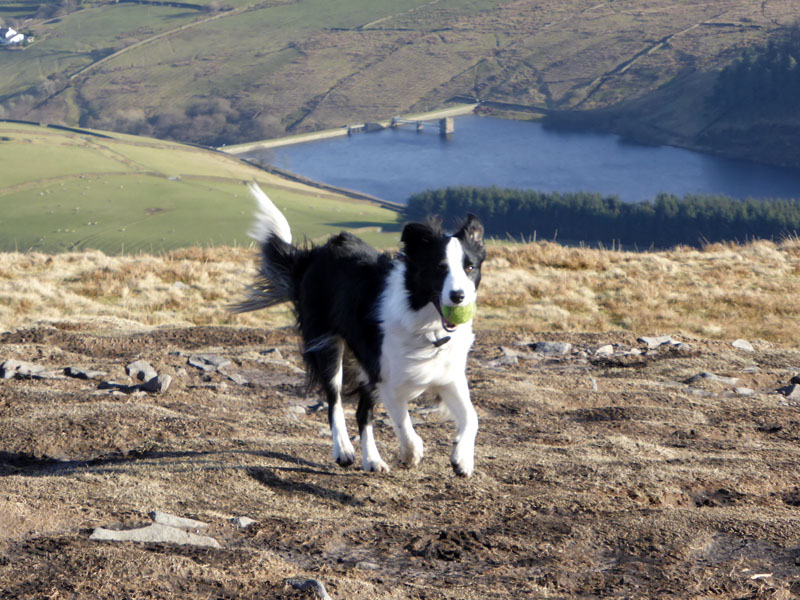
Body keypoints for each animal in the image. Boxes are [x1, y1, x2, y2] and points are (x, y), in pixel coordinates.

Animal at [234, 185, 484, 476]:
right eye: (439, 268)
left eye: (470, 267)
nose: (458, 296)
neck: (424, 320)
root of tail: (313, 257)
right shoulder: (386, 378)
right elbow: (404, 424)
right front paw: (412, 453)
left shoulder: (447, 376)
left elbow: (472, 417)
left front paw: (462, 458)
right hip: (328, 346)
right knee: (335, 402)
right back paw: (344, 450)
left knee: (362, 413)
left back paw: (372, 459)